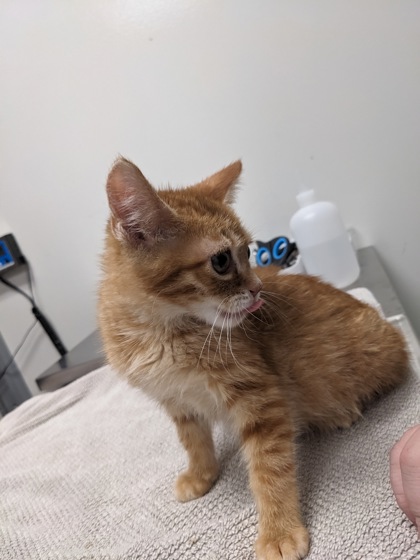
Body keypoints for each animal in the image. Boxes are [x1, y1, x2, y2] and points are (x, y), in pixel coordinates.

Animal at [98, 157, 409, 560]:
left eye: (249, 253)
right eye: (221, 260)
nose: (258, 288)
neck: (164, 332)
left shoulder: (261, 399)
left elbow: (269, 467)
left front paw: (279, 532)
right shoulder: (177, 400)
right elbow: (193, 439)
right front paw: (201, 474)